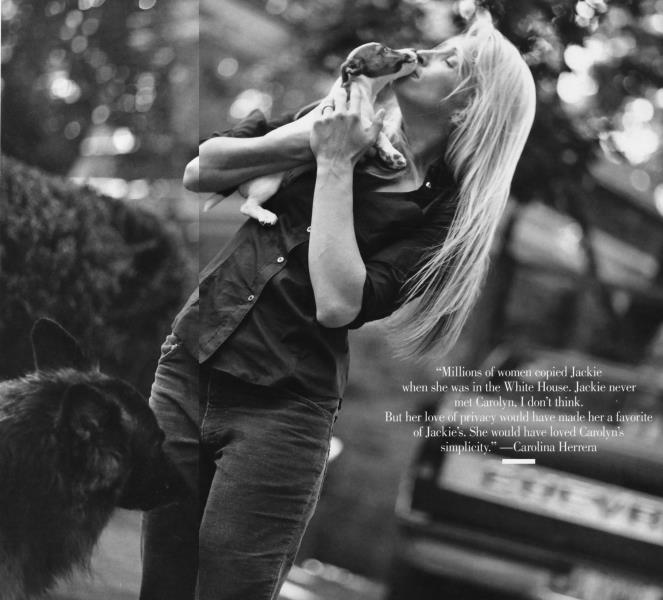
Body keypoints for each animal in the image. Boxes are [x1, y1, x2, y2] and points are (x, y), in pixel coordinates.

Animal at [204, 43, 419, 224]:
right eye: (385, 50)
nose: (415, 50)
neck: (359, 89)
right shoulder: (361, 121)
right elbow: (380, 133)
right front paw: (393, 155)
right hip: (267, 182)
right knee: (247, 206)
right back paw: (265, 216)